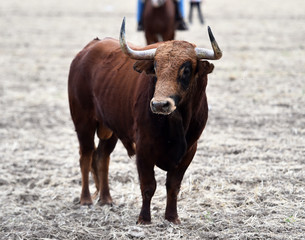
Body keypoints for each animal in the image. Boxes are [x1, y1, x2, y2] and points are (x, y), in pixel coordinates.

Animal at [68, 17, 221, 224]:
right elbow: (148, 185)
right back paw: (86, 199)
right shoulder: (143, 149)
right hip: (83, 122)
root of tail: (87, 50)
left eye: (187, 69)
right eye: (155, 67)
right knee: (86, 156)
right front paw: (144, 219)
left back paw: (106, 198)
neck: (176, 123)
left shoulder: (189, 150)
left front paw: (172, 217)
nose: (160, 104)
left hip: (111, 129)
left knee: (102, 157)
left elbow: (173, 186)